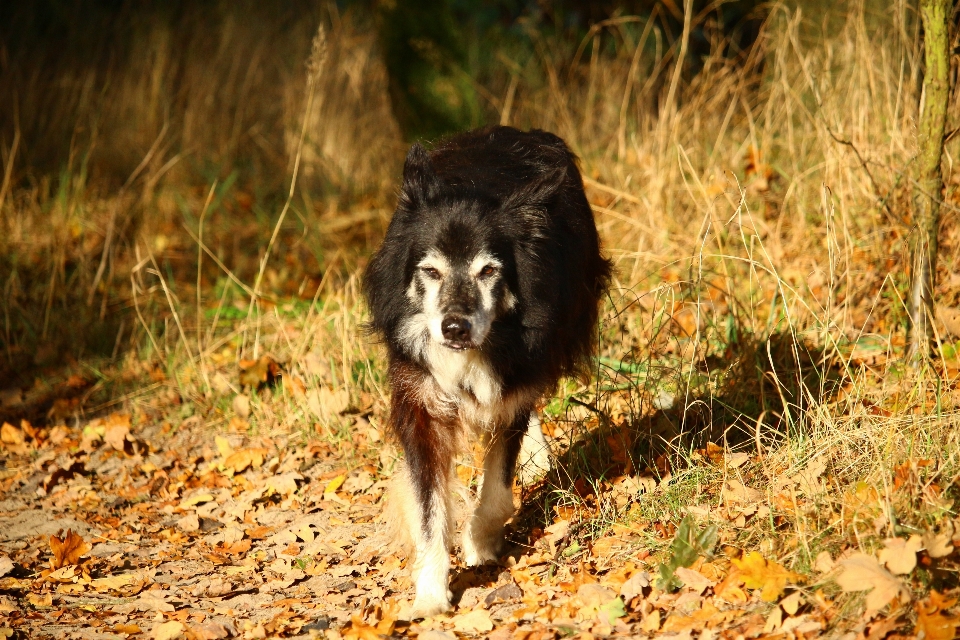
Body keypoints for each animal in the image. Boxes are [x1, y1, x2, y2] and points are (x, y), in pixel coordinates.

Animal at [364, 124, 612, 616]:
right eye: (431, 271)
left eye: (488, 271)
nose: (454, 327)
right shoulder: (421, 402)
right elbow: (430, 508)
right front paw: (430, 595)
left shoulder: (515, 381)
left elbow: (497, 487)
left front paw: (480, 542)